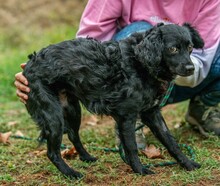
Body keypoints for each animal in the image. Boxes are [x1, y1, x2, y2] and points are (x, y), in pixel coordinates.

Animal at [23, 22, 204, 178]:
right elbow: (131, 147)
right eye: (172, 48)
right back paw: (71, 173)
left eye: (190, 47)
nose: (191, 68)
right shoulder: (127, 116)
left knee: (74, 136)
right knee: (52, 152)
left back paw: (86, 157)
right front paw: (140, 170)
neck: (141, 62)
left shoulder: (152, 113)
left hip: (72, 109)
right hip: (53, 116)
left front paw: (188, 163)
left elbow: (171, 142)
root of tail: (30, 63)